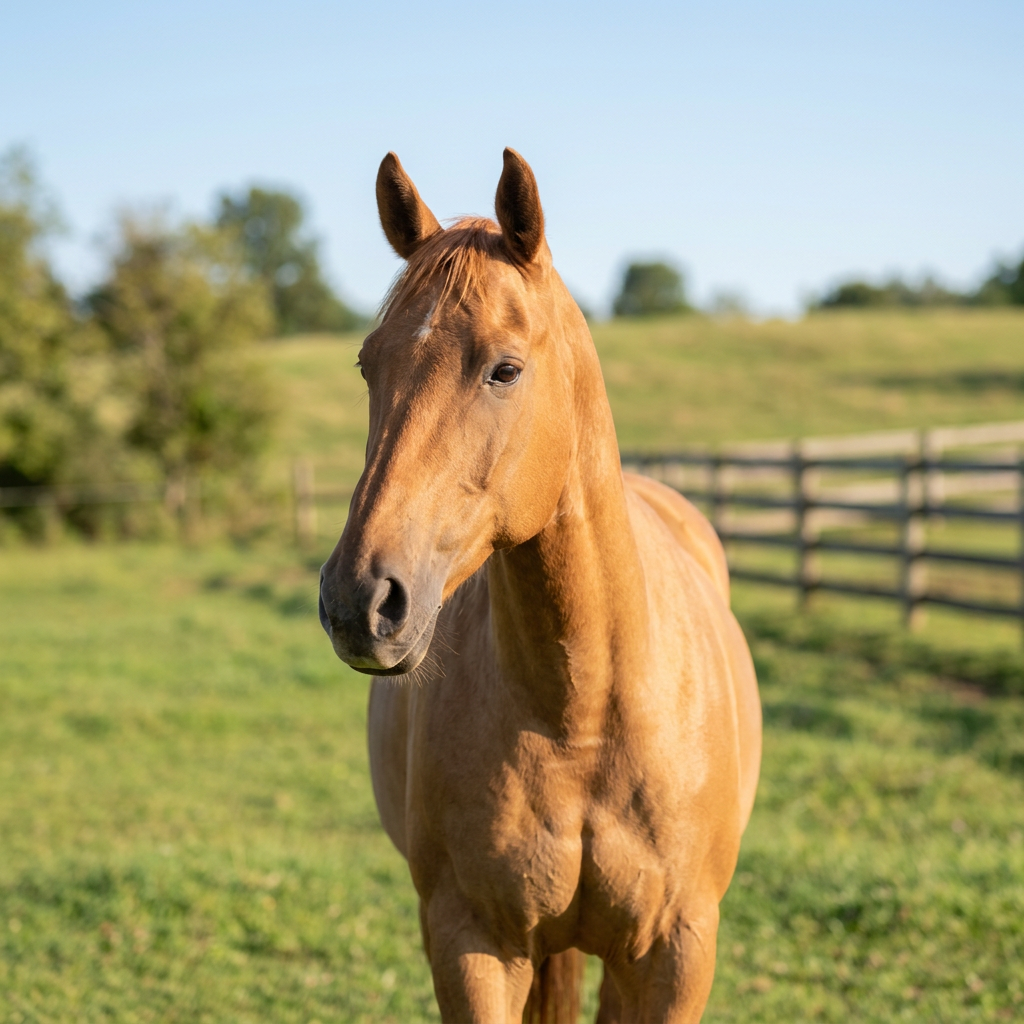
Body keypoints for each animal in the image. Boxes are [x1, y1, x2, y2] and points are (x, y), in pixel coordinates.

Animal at [318, 148, 762, 1023]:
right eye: (367, 364)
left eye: (505, 369)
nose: (360, 601)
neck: (582, 716)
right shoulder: (473, 943)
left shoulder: (675, 954)